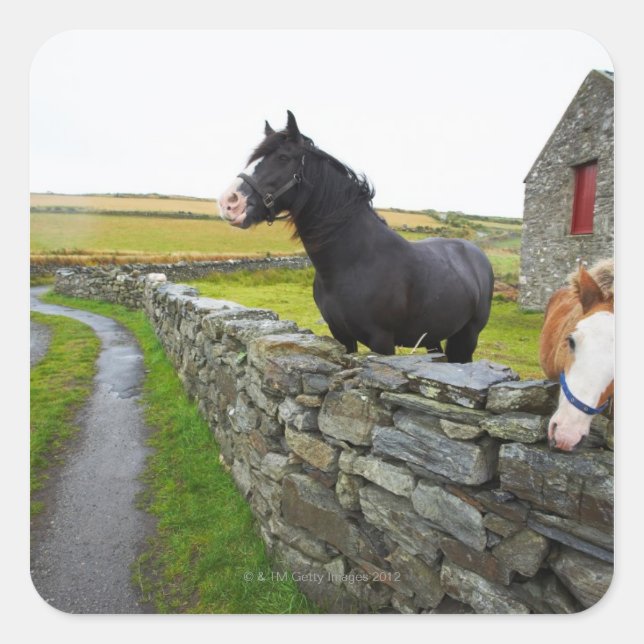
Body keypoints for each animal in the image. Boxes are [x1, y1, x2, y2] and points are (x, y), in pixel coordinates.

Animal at [219, 111, 494, 361]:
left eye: (283, 157)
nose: (229, 203)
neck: (354, 260)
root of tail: (476, 254)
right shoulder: (341, 335)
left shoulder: (382, 341)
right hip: (431, 336)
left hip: (467, 336)